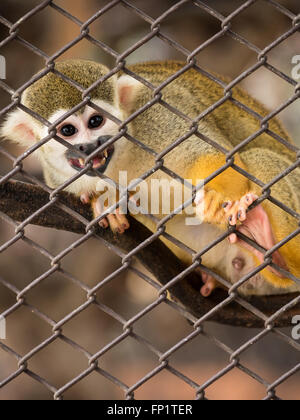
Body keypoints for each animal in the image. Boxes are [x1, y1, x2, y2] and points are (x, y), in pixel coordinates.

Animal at [1, 59, 298, 296]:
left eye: (95, 122)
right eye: (67, 131)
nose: (89, 147)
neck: (120, 159)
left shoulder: (155, 118)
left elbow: (215, 157)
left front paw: (215, 198)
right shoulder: (58, 176)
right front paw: (105, 202)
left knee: (258, 157)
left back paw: (273, 250)